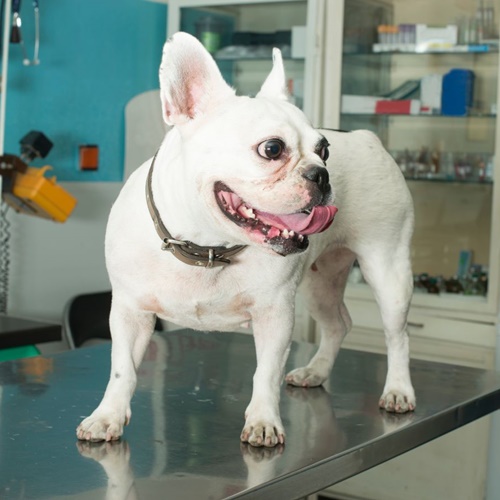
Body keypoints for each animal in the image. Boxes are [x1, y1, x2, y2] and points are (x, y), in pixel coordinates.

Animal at [77, 32, 414, 446]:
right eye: (272, 149)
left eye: (324, 150)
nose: (322, 173)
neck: (207, 246)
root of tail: (369, 137)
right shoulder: (129, 311)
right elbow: (121, 367)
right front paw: (106, 415)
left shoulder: (275, 314)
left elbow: (265, 372)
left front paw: (264, 421)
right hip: (320, 282)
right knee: (338, 324)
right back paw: (315, 371)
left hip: (388, 269)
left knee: (397, 335)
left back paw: (398, 390)